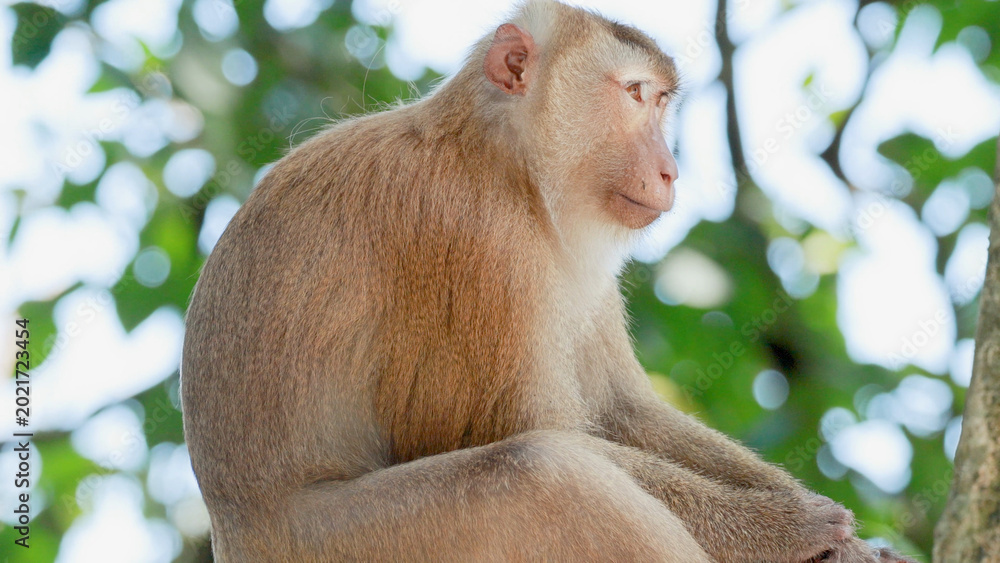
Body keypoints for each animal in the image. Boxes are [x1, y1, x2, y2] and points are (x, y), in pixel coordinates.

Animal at [181, 1, 916, 562]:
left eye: (662, 103)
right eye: (635, 95)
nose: (670, 168)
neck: (505, 158)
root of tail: (233, 536)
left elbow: (621, 410)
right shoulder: (477, 236)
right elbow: (533, 433)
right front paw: (794, 528)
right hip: (350, 544)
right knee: (540, 473)